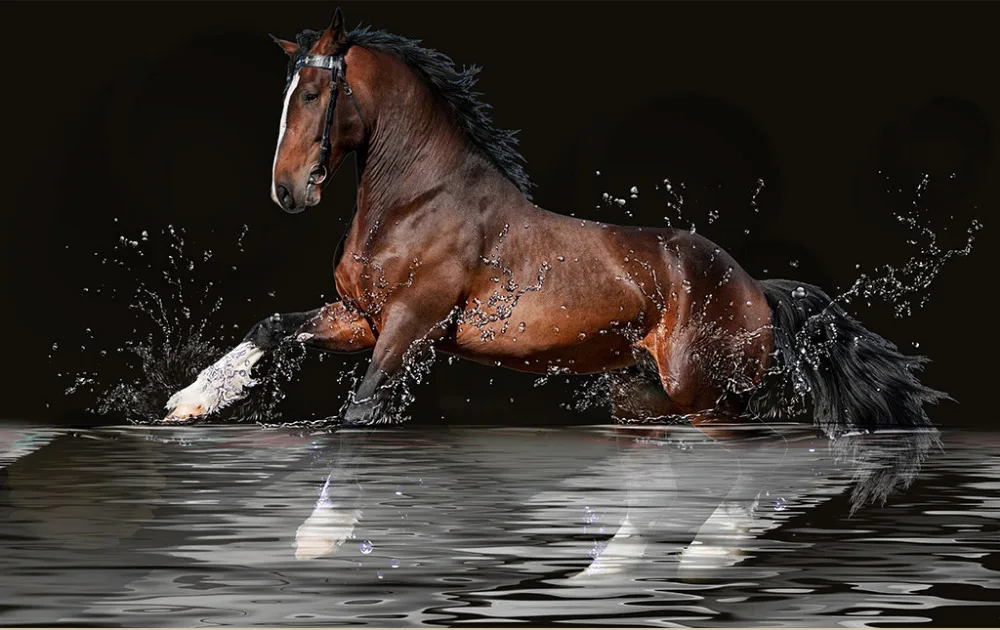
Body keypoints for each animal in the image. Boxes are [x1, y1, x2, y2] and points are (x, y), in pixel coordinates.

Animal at [163, 7, 947, 435]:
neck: (415, 202)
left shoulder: (411, 323)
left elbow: (358, 410)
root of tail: (757, 287)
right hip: (650, 389)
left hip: (707, 398)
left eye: (315, 93)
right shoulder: (362, 315)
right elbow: (271, 327)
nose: (288, 190)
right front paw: (188, 403)